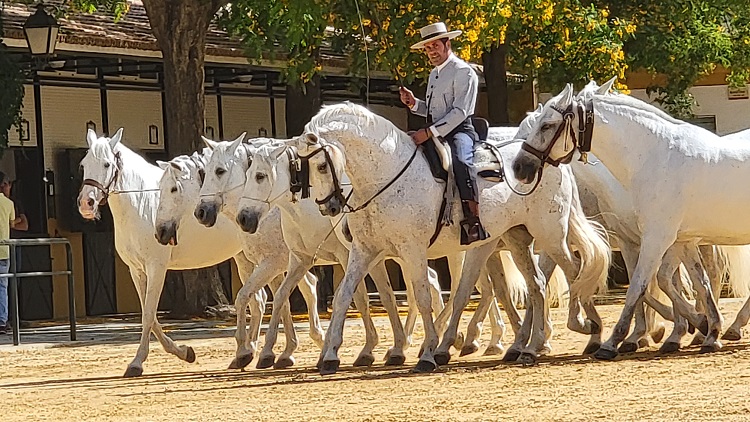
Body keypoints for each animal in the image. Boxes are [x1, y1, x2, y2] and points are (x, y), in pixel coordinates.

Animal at [78, 129, 241, 376]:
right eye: (84, 164)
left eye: (106, 164)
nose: (86, 204)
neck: (142, 202)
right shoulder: (136, 270)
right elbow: (150, 314)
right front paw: (184, 352)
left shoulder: (157, 267)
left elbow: (148, 314)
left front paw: (136, 363)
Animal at [153, 145, 326, 370]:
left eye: (174, 189)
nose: (160, 232)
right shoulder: (273, 264)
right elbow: (279, 301)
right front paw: (278, 353)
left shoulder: (273, 263)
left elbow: (257, 298)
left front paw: (253, 352)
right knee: (310, 286)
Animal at [294, 104, 612, 374]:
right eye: (302, 168)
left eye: (321, 166)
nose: (329, 207)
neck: (386, 177)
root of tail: (549, 161)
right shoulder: (364, 251)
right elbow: (343, 296)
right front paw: (330, 355)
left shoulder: (412, 251)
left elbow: (423, 297)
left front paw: (426, 353)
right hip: (514, 240)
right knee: (536, 285)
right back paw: (527, 347)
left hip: (550, 235)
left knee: (574, 272)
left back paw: (591, 331)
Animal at [516, 81, 750, 356]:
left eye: (546, 125)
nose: (519, 166)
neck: (657, 158)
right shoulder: (682, 241)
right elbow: (696, 284)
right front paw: (708, 329)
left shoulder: (655, 239)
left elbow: (639, 286)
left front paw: (612, 342)